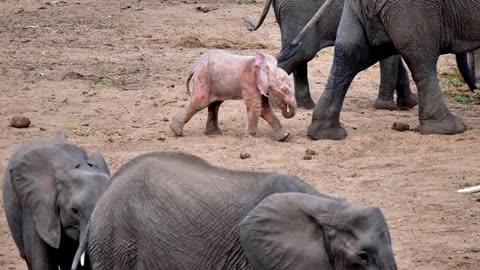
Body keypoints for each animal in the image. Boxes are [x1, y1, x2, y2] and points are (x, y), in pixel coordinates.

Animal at [246, 0, 418, 110]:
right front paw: (386, 107)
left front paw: (409, 103)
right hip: (299, 13)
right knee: (303, 52)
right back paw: (276, 105)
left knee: (297, 53)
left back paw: (305, 105)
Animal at [280, 0, 480, 140]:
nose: (474, 87)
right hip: (414, 8)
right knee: (421, 59)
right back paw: (448, 128)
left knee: (349, 52)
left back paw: (324, 133)